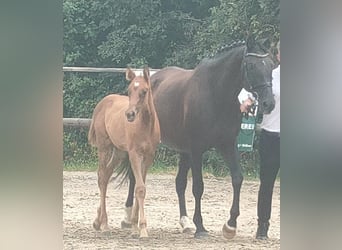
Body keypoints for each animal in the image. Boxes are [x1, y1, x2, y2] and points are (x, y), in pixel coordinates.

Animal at [87, 67, 159, 238]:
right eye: (129, 90)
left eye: (144, 91)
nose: (129, 114)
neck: (146, 126)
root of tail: (102, 103)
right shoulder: (134, 154)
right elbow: (139, 188)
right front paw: (142, 229)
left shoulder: (148, 157)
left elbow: (141, 187)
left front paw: (134, 227)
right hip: (104, 148)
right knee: (102, 179)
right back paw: (105, 225)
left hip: (119, 152)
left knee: (106, 175)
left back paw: (98, 221)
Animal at [150, 38, 276, 238]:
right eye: (251, 66)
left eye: (271, 65)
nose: (268, 103)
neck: (215, 93)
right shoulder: (196, 150)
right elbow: (198, 187)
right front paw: (200, 227)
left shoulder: (227, 145)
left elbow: (237, 178)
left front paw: (230, 225)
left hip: (183, 151)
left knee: (179, 183)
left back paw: (185, 223)